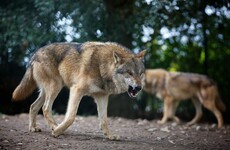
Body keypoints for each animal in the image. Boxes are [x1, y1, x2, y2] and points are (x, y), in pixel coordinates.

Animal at [11, 41, 146, 139]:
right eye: (129, 73)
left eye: (140, 73)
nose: (139, 87)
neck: (102, 67)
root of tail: (35, 53)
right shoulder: (76, 90)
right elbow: (71, 116)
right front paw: (57, 131)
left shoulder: (102, 96)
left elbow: (104, 120)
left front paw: (110, 136)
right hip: (55, 87)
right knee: (45, 108)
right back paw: (55, 127)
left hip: (48, 91)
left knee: (33, 106)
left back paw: (33, 128)